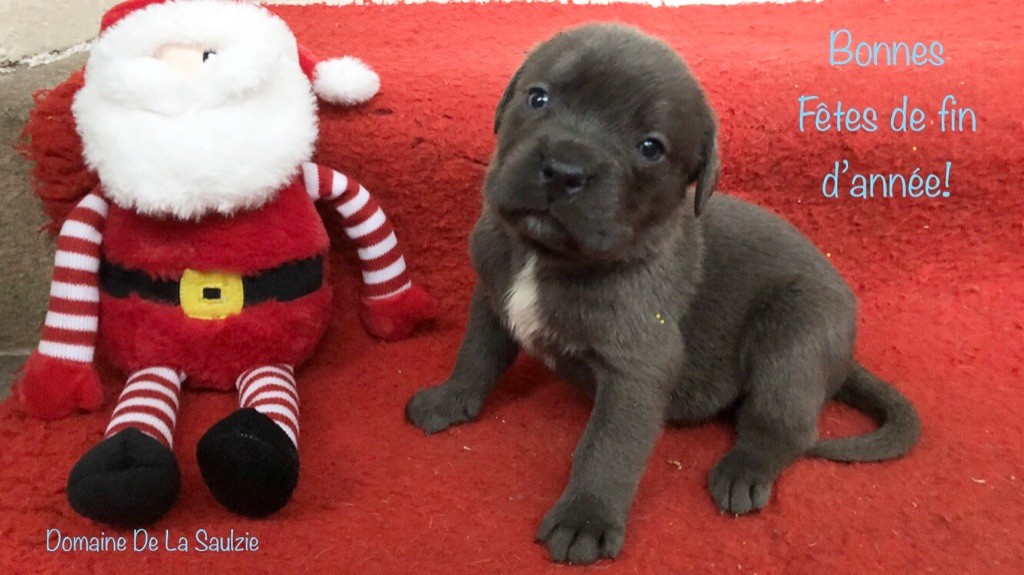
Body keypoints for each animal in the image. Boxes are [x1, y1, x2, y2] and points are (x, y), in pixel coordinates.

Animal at [403, 24, 925, 560]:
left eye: (650, 147)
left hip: (795, 331)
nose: (566, 170)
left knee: (786, 423)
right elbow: (476, 356)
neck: (544, 256)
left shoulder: (637, 369)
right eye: (538, 97)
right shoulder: (492, 297)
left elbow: (608, 446)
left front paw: (585, 517)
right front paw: (449, 399)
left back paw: (743, 469)